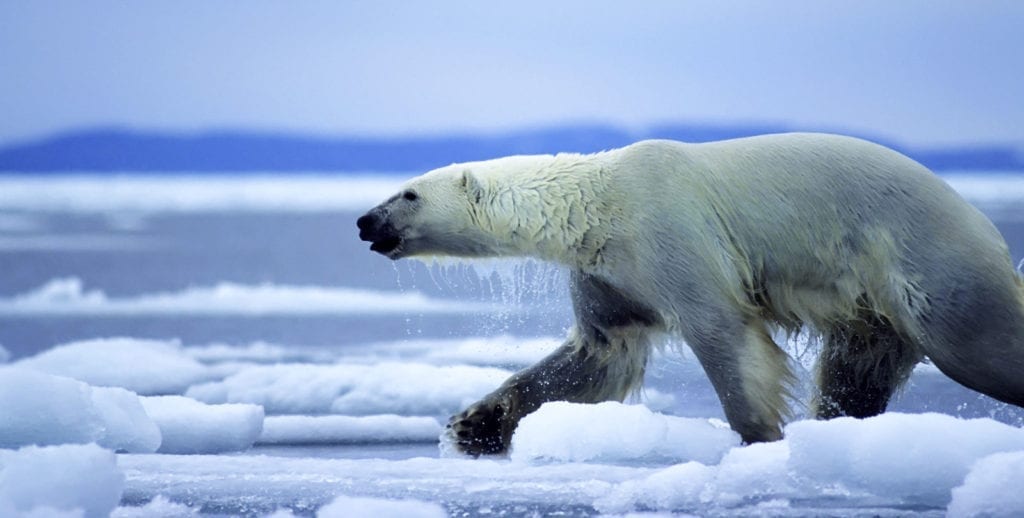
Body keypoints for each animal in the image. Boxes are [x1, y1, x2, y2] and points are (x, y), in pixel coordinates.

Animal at [354, 132, 1024, 452]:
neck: (597, 203)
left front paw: (760, 438)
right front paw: (475, 424)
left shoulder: (671, 230)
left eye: (408, 193)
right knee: (855, 373)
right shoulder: (609, 272)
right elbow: (598, 353)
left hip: (928, 264)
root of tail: (986, 225)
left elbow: (723, 332)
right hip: (873, 308)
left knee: (979, 344)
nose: (364, 221)